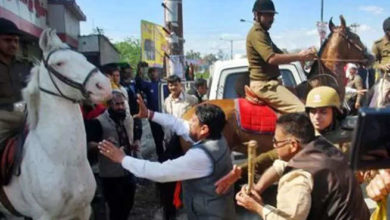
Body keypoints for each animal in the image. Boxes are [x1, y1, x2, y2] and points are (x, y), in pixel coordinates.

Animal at [0, 28, 112, 218]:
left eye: (83, 58)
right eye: (59, 63)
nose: (104, 86)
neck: (64, 161)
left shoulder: (83, 210)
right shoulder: (43, 215)